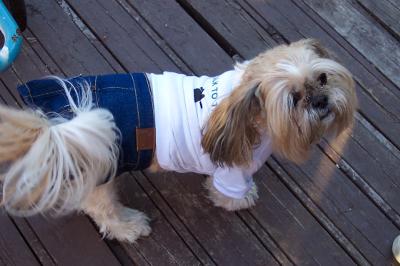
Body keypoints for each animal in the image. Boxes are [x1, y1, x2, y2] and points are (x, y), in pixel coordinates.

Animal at [0, 39, 356, 241]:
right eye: (294, 99)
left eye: (322, 78)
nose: (321, 100)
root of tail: (54, 127)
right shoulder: (232, 175)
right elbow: (230, 194)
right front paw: (244, 199)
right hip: (100, 169)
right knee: (101, 210)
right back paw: (129, 227)